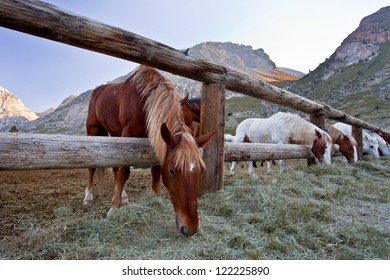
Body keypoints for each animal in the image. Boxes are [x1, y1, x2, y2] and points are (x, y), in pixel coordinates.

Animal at [85, 65, 216, 236]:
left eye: (201, 170)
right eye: (173, 172)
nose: (191, 228)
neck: (143, 102)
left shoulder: (157, 138)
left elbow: (155, 172)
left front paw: (156, 198)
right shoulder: (128, 136)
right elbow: (124, 172)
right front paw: (113, 208)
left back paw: (123, 195)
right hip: (93, 129)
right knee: (93, 167)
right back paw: (88, 195)